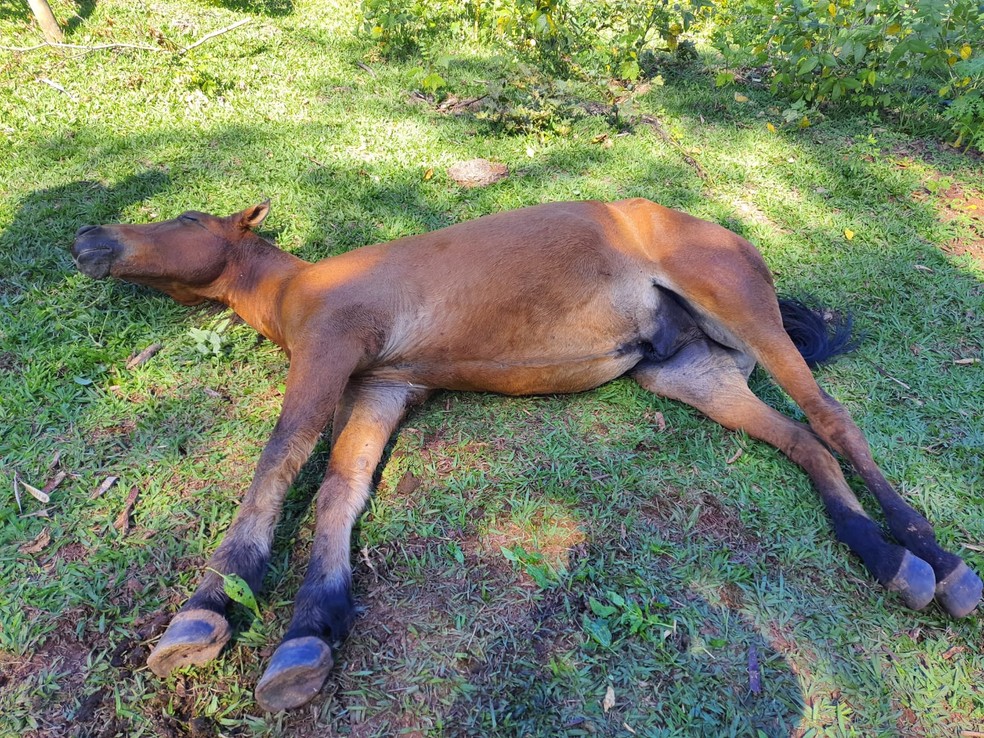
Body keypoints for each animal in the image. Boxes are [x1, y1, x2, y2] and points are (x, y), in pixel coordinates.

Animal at [73, 198, 980, 712]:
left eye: (188, 224)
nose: (87, 237)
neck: (304, 287)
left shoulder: (332, 352)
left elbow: (279, 461)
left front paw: (206, 609)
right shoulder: (382, 387)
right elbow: (339, 491)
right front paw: (310, 629)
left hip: (738, 307)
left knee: (833, 420)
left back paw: (939, 560)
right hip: (691, 373)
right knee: (804, 444)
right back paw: (886, 559)